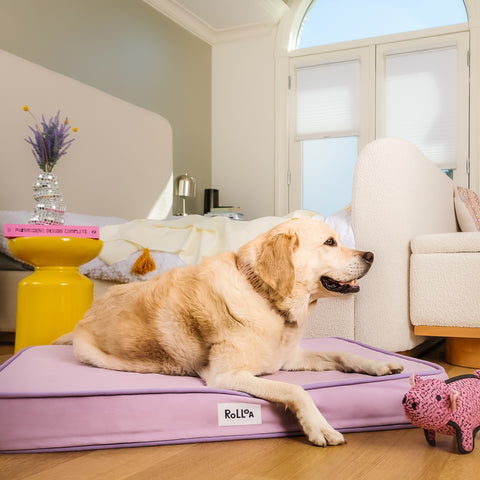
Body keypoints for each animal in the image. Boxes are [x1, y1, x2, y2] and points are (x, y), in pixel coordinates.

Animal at [55, 219, 404, 448]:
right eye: (330, 242)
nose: (371, 255)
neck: (264, 298)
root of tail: (85, 317)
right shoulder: (226, 375)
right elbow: (296, 391)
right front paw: (320, 426)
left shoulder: (288, 358)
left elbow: (342, 352)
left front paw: (379, 364)